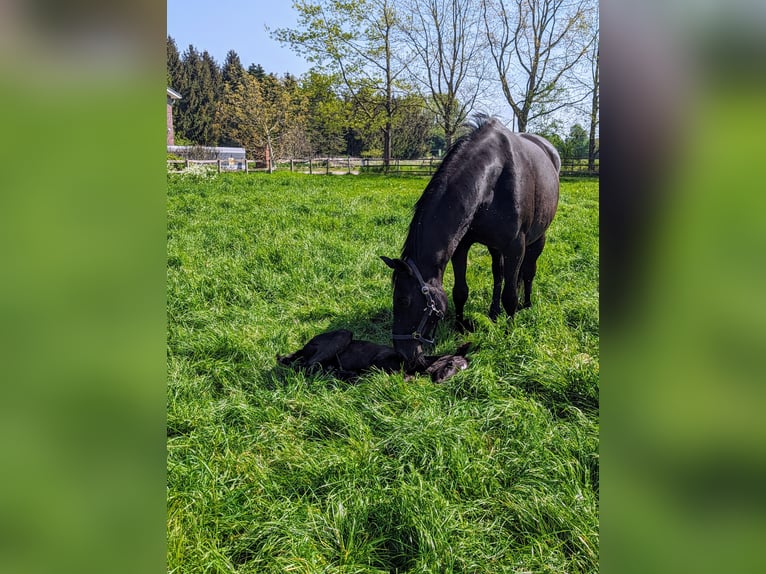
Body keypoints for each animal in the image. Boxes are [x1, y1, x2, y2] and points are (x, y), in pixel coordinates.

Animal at [380, 115, 560, 366]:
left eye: (404, 301)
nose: (403, 354)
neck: (494, 178)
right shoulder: (461, 246)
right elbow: (460, 291)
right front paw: (459, 327)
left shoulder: (515, 248)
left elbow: (510, 295)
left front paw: (509, 333)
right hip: (495, 247)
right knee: (498, 274)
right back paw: (493, 313)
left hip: (537, 239)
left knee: (528, 272)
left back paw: (527, 305)